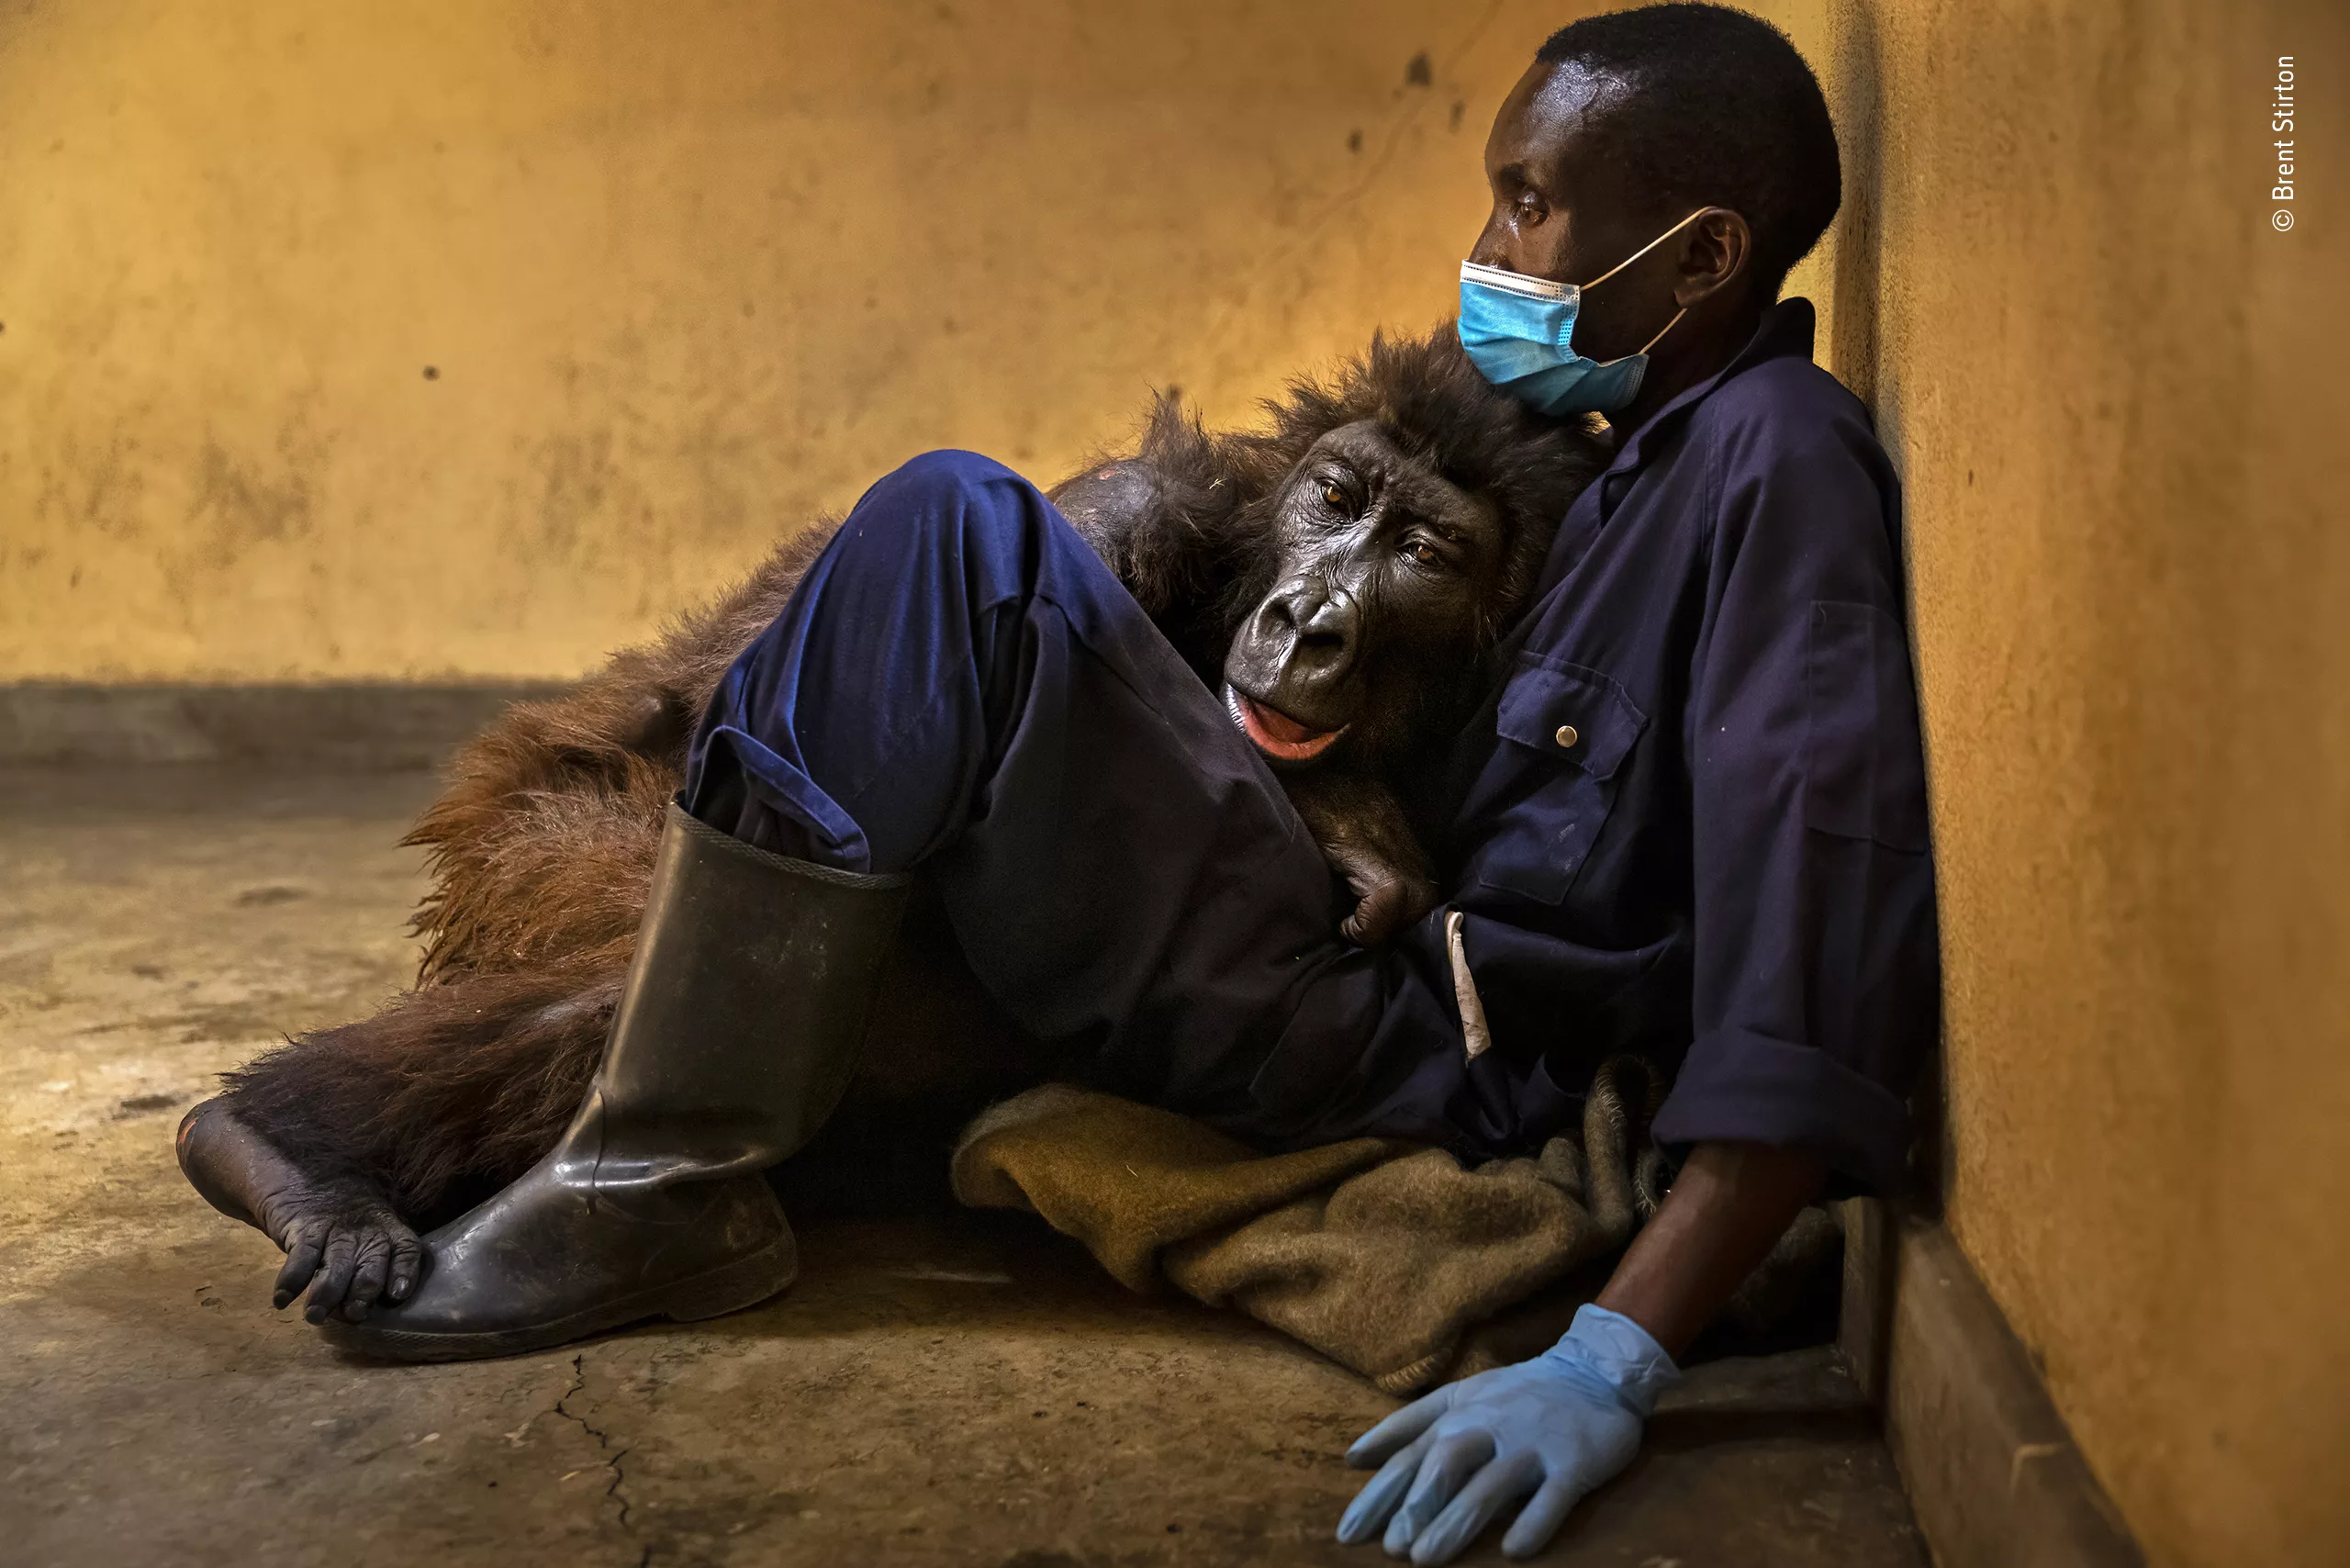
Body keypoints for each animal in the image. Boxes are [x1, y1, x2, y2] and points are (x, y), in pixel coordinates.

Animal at [175, 325, 1610, 1324]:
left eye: (1422, 551)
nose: (1310, 621)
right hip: (528, 848)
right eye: (1338, 499)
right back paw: (285, 1149)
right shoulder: (1126, 511)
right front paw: (1342, 815)